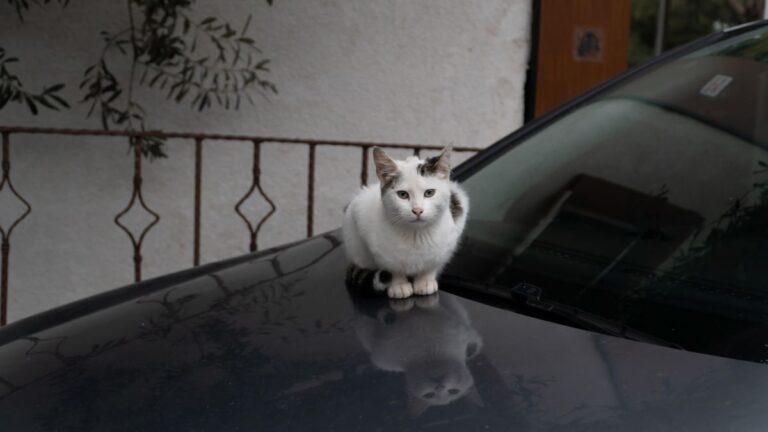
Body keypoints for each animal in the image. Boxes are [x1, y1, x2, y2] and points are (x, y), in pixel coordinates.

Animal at [344, 147, 468, 298]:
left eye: (429, 193)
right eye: (402, 195)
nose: (417, 210)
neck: (416, 235)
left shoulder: (448, 241)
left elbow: (433, 264)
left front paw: (425, 281)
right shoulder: (366, 229)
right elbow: (392, 268)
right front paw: (399, 285)